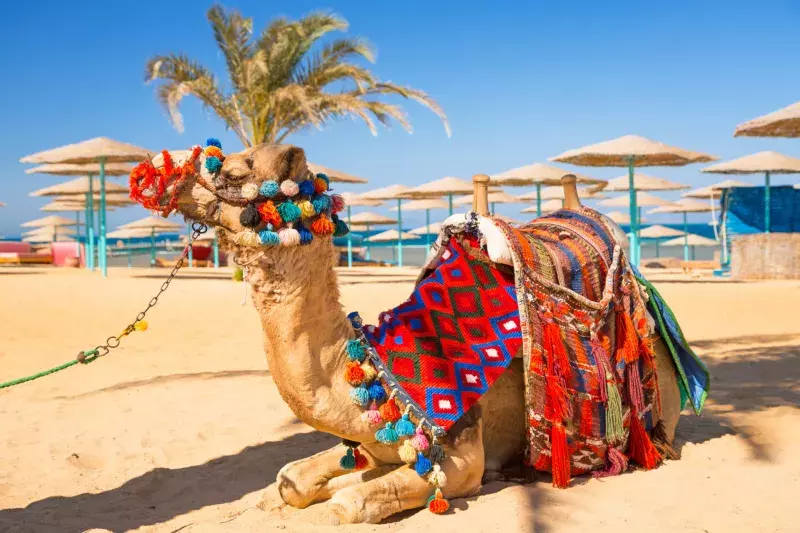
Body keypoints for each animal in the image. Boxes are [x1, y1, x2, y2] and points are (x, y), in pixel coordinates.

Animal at [142, 141, 680, 524]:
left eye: (233, 171)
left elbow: (349, 504)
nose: (161, 167)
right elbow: (291, 480)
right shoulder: (367, 441)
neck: (376, 371)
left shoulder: (462, 453)